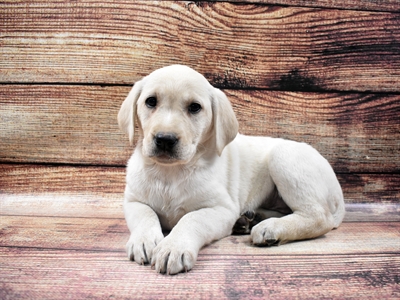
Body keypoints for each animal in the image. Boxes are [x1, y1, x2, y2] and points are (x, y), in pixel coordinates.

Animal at [117, 64, 346, 276]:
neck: (170, 172)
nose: (165, 139)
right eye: (151, 102)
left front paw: (174, 247)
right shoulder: (134, 201)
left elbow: (191, 219)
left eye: (194, 107)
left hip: (284, 157)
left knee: (318, 217)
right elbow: (146, 215)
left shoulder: (221, 209)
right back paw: (250, 219)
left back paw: (270, 228)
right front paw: (144, 241)